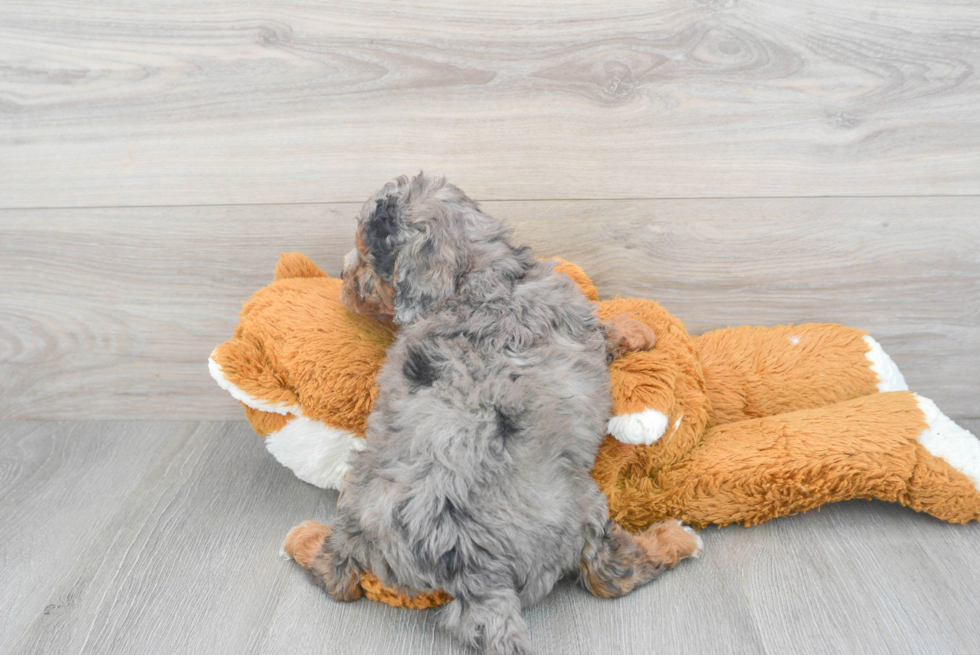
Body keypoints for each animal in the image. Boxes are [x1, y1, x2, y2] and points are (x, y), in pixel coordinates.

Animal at [284, 174, 704, 655]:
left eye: (368, 259)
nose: (342, 278)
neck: (480, 276)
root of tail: (470, 570)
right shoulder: (574, 320)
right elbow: (606, 327)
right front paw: (639, 328)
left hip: (360, 494)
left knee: (339, 574)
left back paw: (303, 540)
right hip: (581, 507)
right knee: (610, 575)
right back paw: (677, 538)